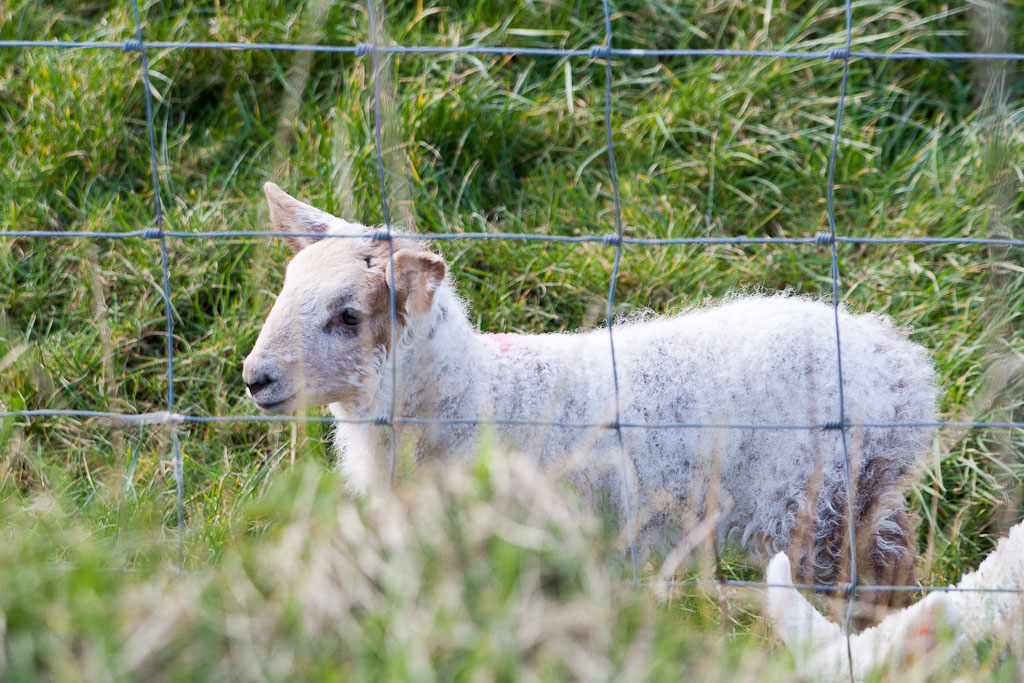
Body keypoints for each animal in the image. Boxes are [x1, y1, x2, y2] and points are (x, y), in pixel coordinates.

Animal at [243, 182, 938, 590]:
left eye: (348, 316)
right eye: (286, 287)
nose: (255, 378)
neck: (475, 395)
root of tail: (906, 366)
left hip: (820, 505)